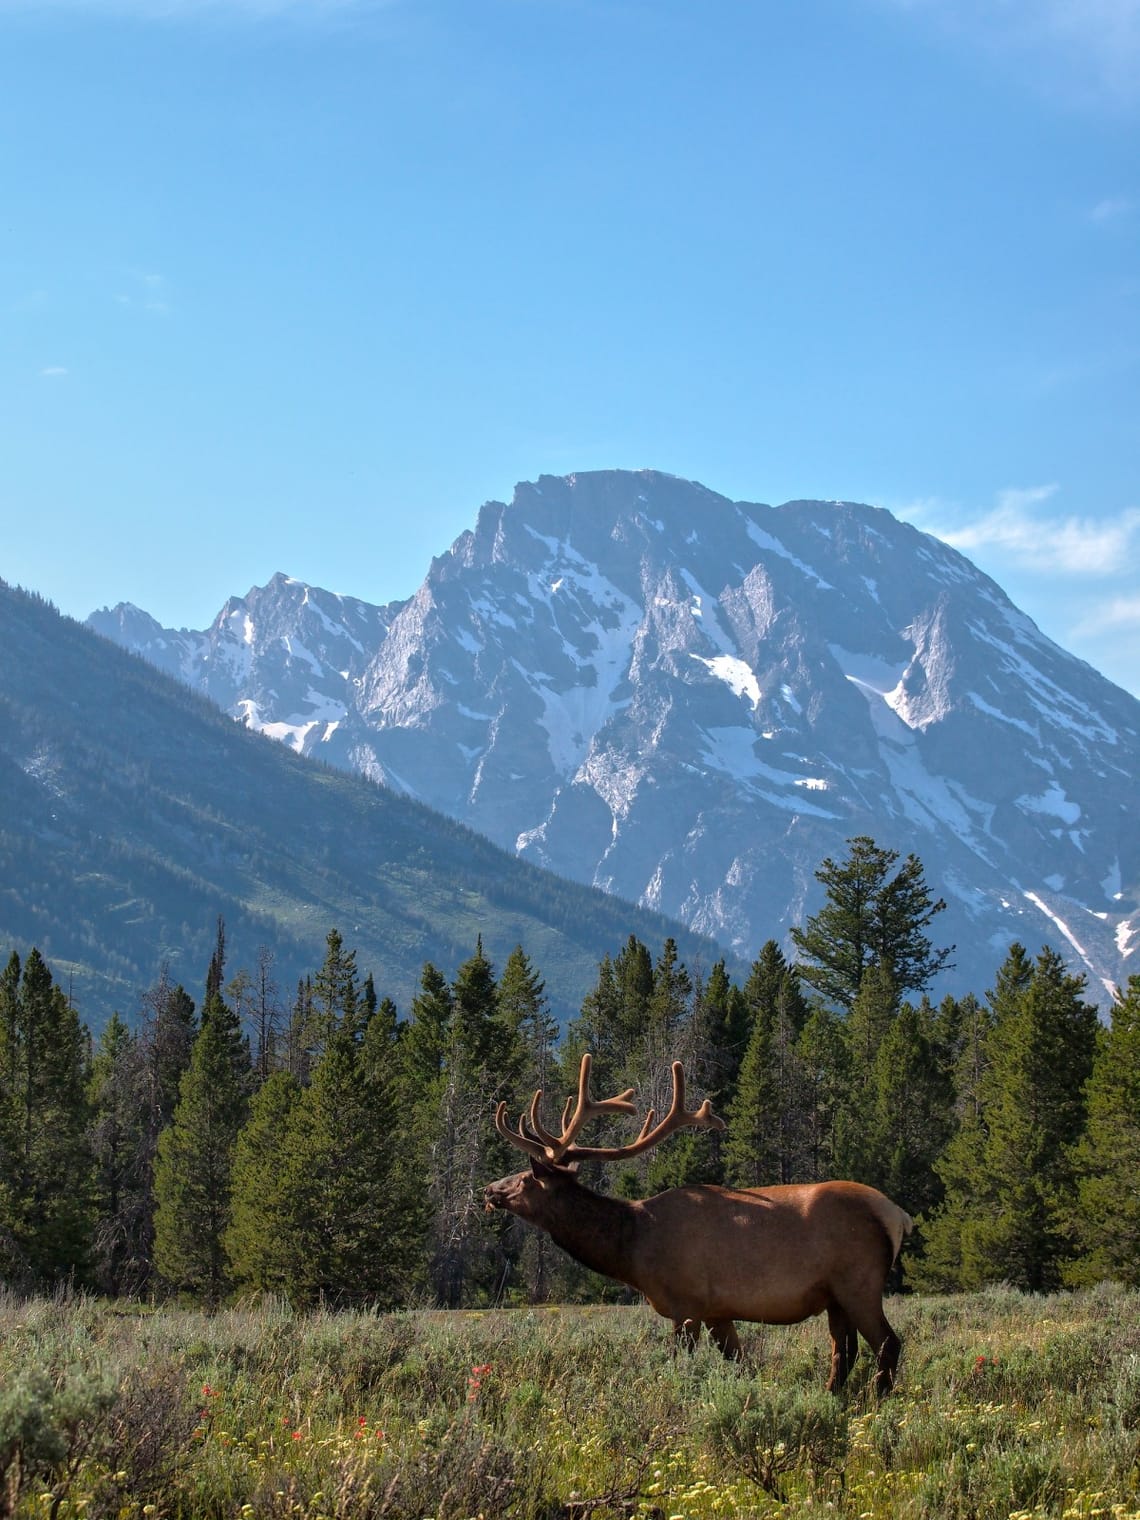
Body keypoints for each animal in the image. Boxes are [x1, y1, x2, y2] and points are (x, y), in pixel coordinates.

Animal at [486, 1057, 918, 1392]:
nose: (489, 1189)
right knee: (843, 1352)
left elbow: (681, 1365)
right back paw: (832, 1400)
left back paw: (876, 1403)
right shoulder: (718, 1312)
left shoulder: (687, 1304)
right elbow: (742, 1365)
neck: (633, 1249)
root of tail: (898, 1215)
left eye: (524, 1179)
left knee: (888, 1345)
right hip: (834, 1297)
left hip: (859, 1282)